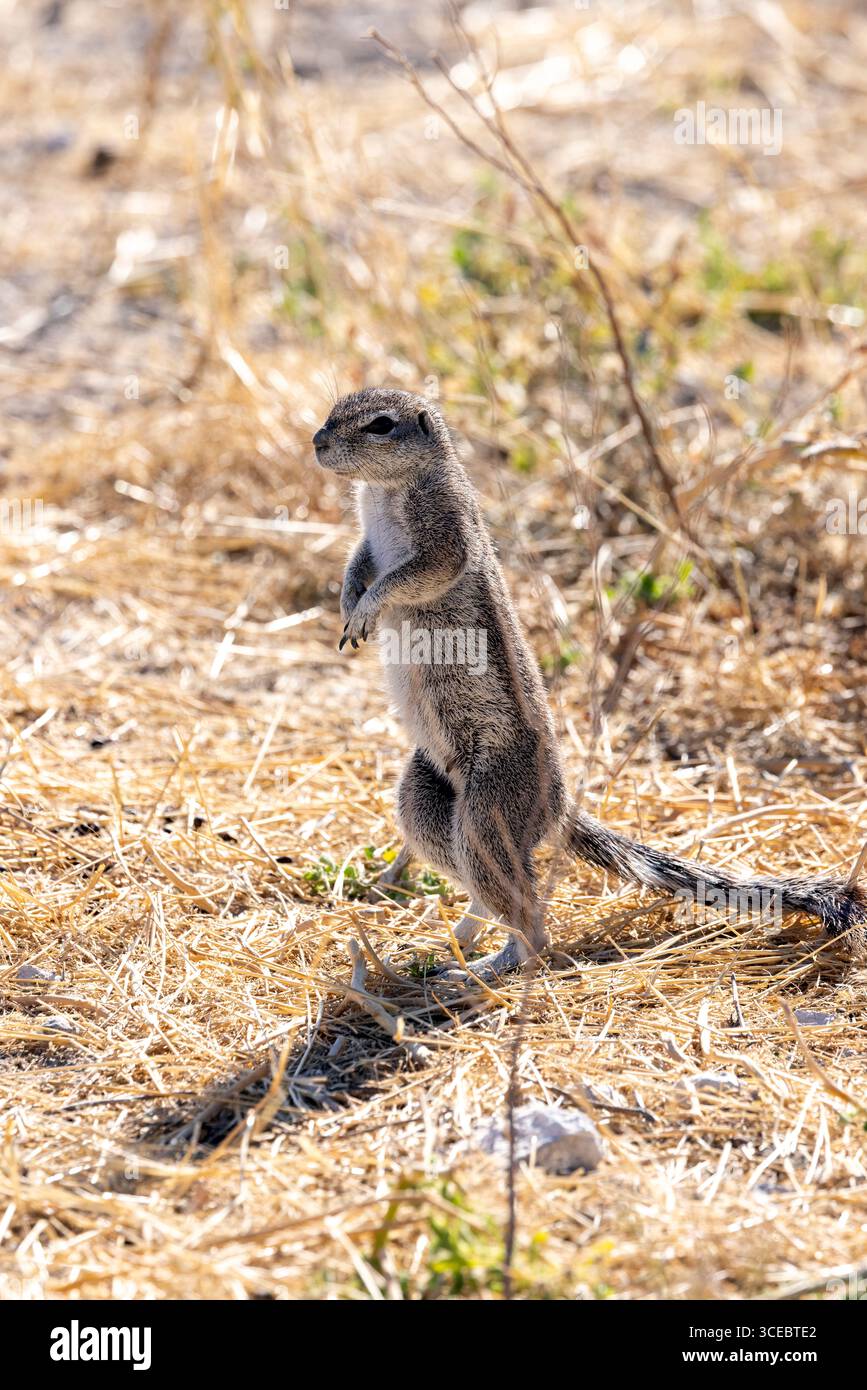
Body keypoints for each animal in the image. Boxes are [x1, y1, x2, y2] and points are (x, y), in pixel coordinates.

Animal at [313, 387, 866, 979]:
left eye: (380, 425)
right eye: (333, 412)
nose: (317, 442)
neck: (386, 487)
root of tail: (557, 806)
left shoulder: (445, 532)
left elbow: (414, 574)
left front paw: (367, 607)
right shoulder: (369, 536)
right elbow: (359, 560)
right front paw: (348, 602)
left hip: (490, 807)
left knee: (531, 921)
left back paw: (485, 968)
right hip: (425, 796)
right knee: (484, 878)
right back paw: (455, 941)